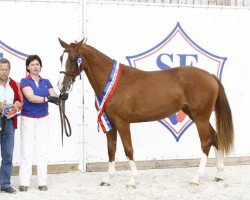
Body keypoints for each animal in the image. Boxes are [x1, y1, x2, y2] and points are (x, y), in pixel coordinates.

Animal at [57, 38, 233, 188]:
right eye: (61, 58)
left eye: (73, 58)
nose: (61, 86)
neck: (113, 83)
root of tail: (210, 76)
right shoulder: (110, 122)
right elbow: (111, 149)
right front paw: (107, 180)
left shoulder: (122, 122)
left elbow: (128, 149)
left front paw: (132, 180)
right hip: (194, 115)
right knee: (215, 137)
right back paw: (219, 174)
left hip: (200, 117)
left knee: (206, 142)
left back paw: (196, 178)